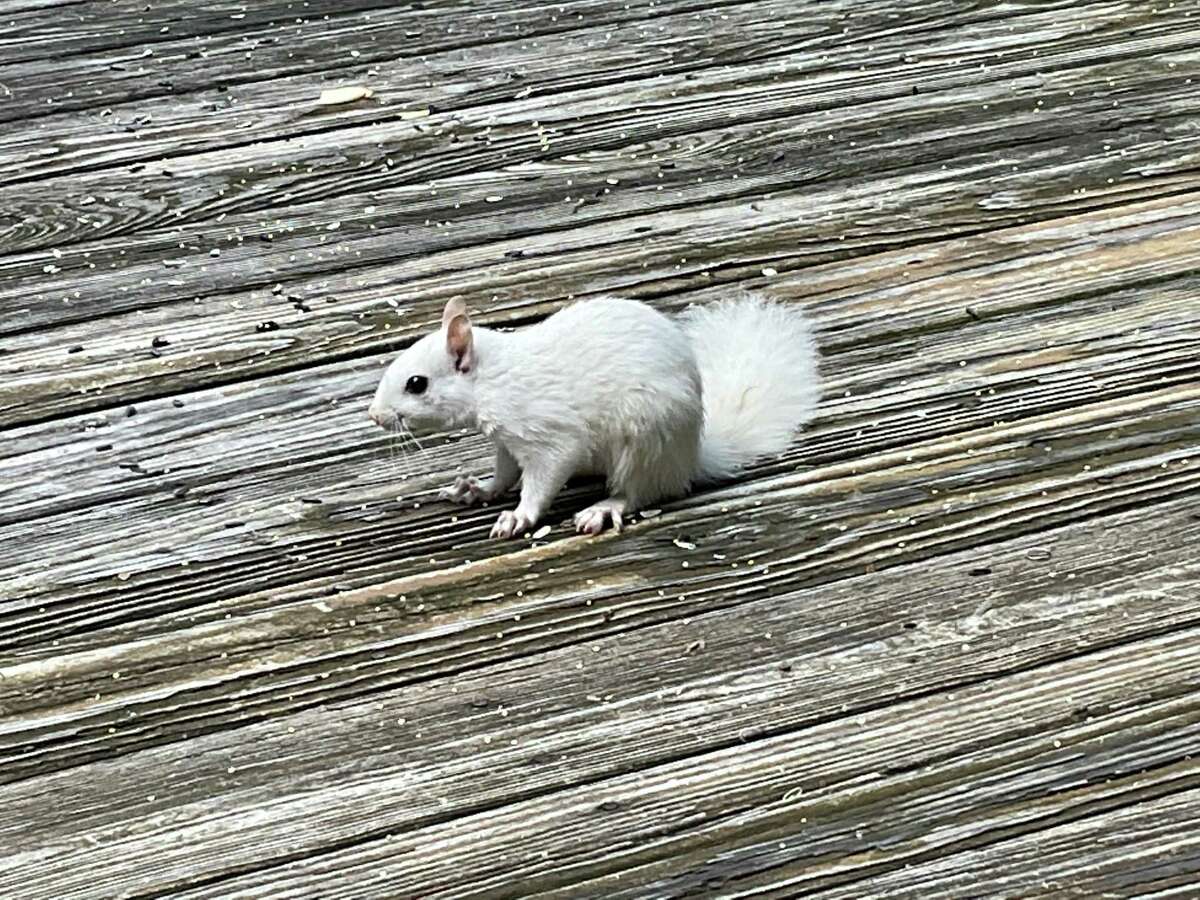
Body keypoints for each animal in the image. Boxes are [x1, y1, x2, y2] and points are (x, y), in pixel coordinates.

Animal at [367, 292, 816, 540]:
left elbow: (542, 479)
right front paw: (478, 489)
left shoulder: (550, 436)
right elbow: (505, 474)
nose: (374, 415)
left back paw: (605, 507)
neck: (494, 380)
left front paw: (518, 517)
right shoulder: (507, 443)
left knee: (643, 491)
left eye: (416, 384)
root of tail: (691, 457)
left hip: (646, 439)